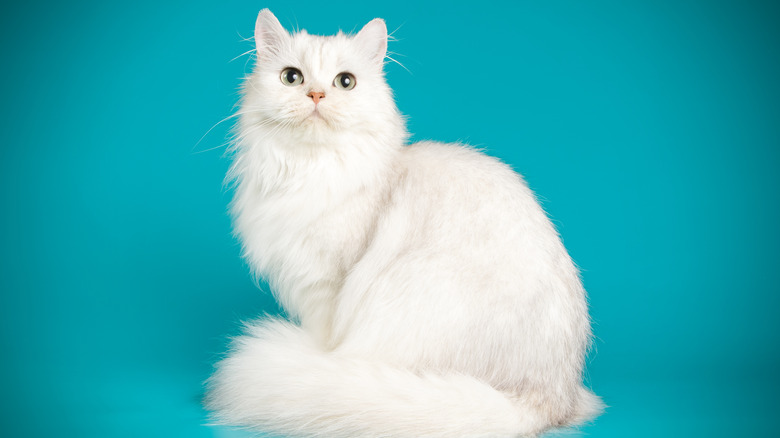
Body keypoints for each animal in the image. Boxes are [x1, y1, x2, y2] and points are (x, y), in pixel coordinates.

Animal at [204, 8, 600, 436]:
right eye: (292, 77)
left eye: (345, 82)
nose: (316, 95)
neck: (310, 170)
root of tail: (550, 399)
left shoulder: (326, 285)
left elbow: (325, 339)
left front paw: (315, 358)